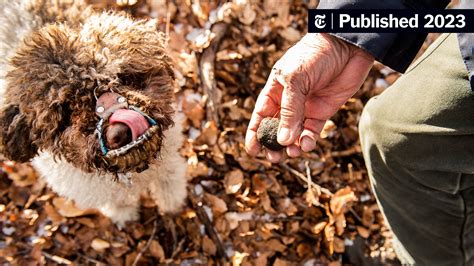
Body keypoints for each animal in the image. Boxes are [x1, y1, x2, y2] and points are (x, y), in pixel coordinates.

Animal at [0, 0, 189, 227]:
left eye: (122, 78)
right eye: (66, 113)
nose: (119, 132)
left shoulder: (169, 163)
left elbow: (170, 184)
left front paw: (173, 207)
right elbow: (119, 204)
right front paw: (124, 216)